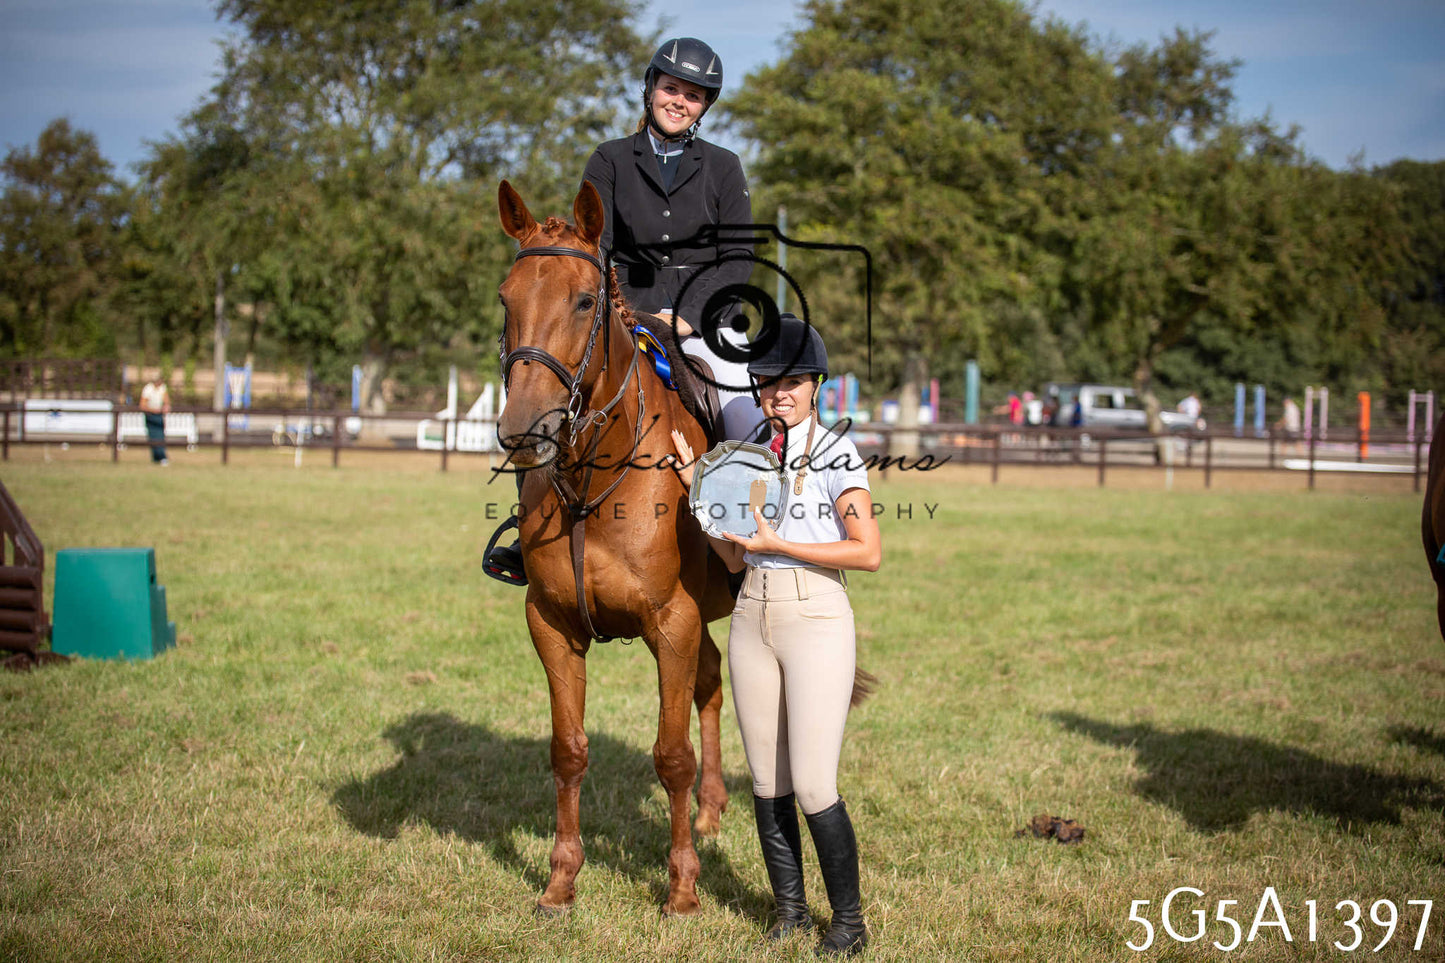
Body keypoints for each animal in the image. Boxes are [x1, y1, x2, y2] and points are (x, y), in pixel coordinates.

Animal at [494, 179, 736, 916]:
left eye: (583, 300)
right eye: (505, 297)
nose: (525, 431)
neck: (594, 480)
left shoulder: (672, 622)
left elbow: (671, 756)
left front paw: (681, 888)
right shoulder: (551, 625)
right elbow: (568, 751)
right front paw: (560, 880)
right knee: (711, 682)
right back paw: (711, 808)